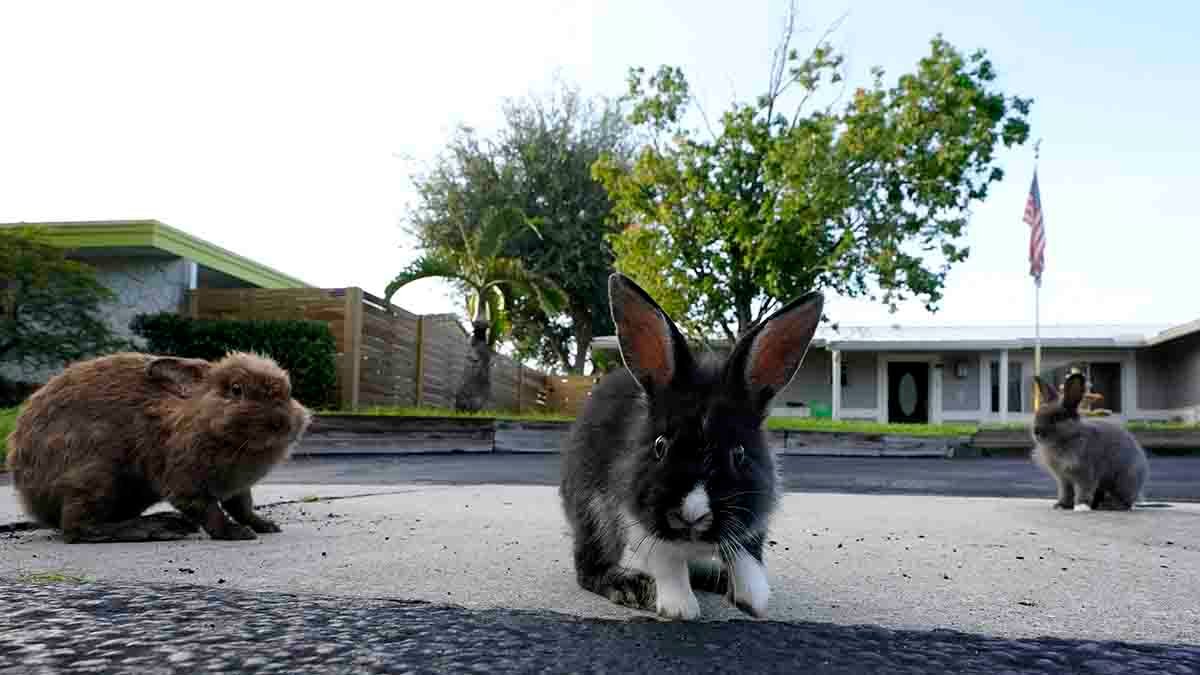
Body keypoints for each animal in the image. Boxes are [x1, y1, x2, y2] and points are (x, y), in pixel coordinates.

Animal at [6, 350, 312, 543]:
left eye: (289, 391)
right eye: (236, 390)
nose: (282, 424)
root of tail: (30, 496)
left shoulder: (237, 487)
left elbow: (243, 507)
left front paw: (266, 526)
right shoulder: (183, 482)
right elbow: (210, 510)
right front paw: (237, 533)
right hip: (95, 477)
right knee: (77, 528)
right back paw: (155, 529)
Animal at [559, 273, 823, 620]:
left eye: (739, 454)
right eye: (660, 446)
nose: (692, 515)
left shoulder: (752, 519)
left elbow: (746, 555)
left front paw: (753, 599)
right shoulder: (635, 516)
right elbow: (667, 560)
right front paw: (680, 608)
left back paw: (716, 578)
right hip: (593, 515)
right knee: (589, 568)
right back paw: (630, 585)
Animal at [1030, 372, 1148, 512]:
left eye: (1057, 417)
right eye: (1038, 414)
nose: (1036, 431)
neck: (1067, 439)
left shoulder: (1086, 474)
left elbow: (1083, 491)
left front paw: (1081, 506)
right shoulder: (1064, 479)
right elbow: (1066, 493)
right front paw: (1061, 505)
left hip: (1124, 482)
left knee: (1126, 503)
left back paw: (1108, 505)